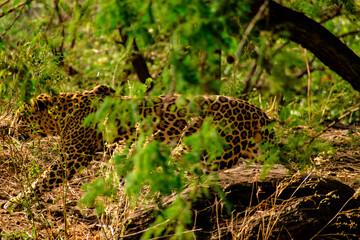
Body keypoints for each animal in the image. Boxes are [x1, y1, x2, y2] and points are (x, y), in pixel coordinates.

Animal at [4, 85, 272, 209]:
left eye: (20, 117)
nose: (7, 130)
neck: (63, 113)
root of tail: (260, 114)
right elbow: (124, 180)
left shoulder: (72, 156)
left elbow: (43, 179)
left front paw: (16, 201)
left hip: (205, 151)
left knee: (196, 179)